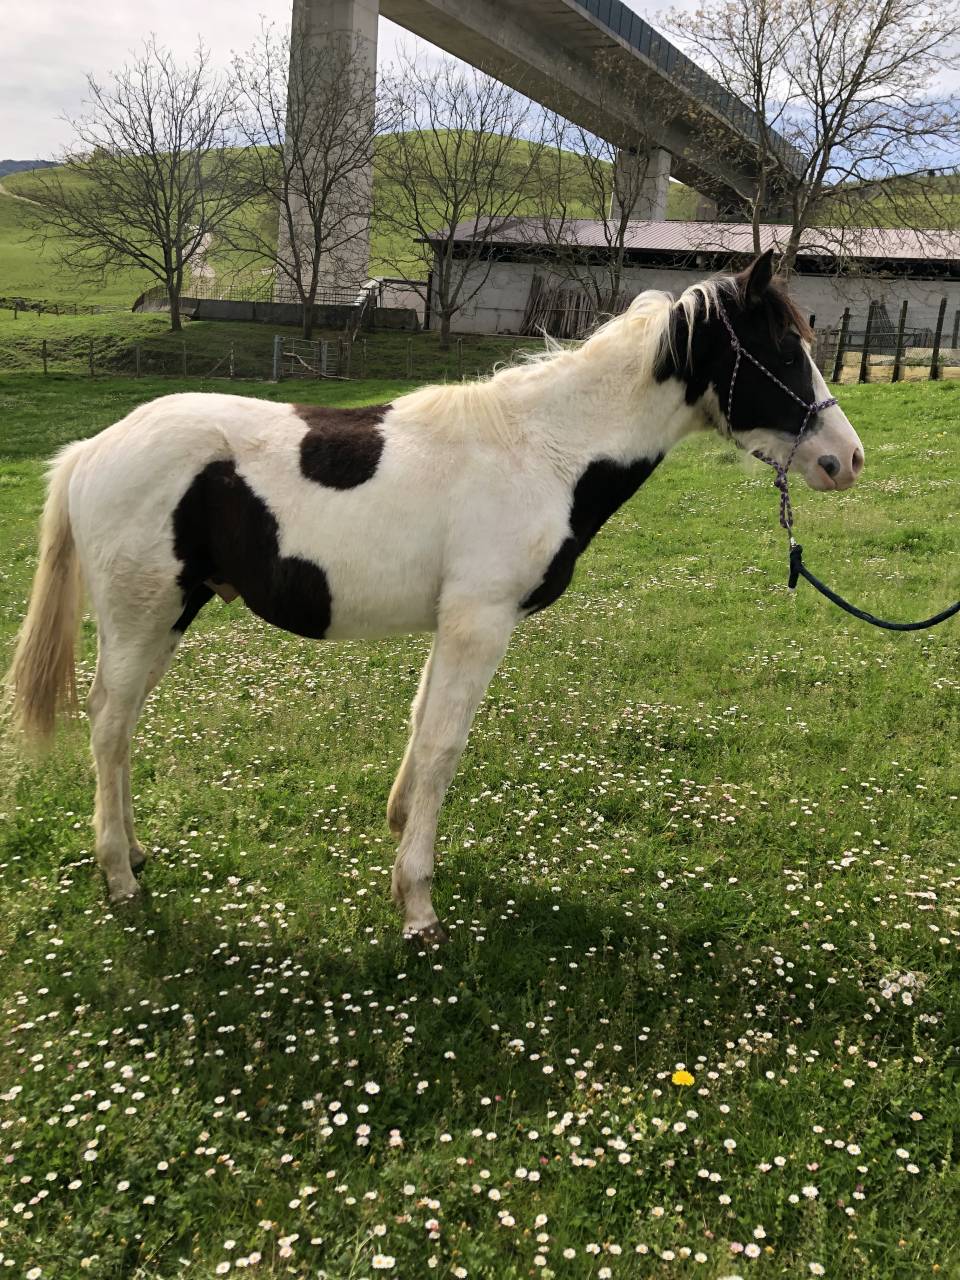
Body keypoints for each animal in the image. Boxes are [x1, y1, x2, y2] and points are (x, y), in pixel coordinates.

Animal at [5, 250, 864, 943]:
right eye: (781, 350)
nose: (844, 459)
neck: (544, 452)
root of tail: (94, 449)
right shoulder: (479, 622)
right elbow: (447, 743)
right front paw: (416, 902)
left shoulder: (452, 623)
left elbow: (422, 727)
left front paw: (399, 833)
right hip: (141, 619)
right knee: (109, 726)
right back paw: (119, 876)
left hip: (165, 622)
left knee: (118, 728)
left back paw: (133, 851)